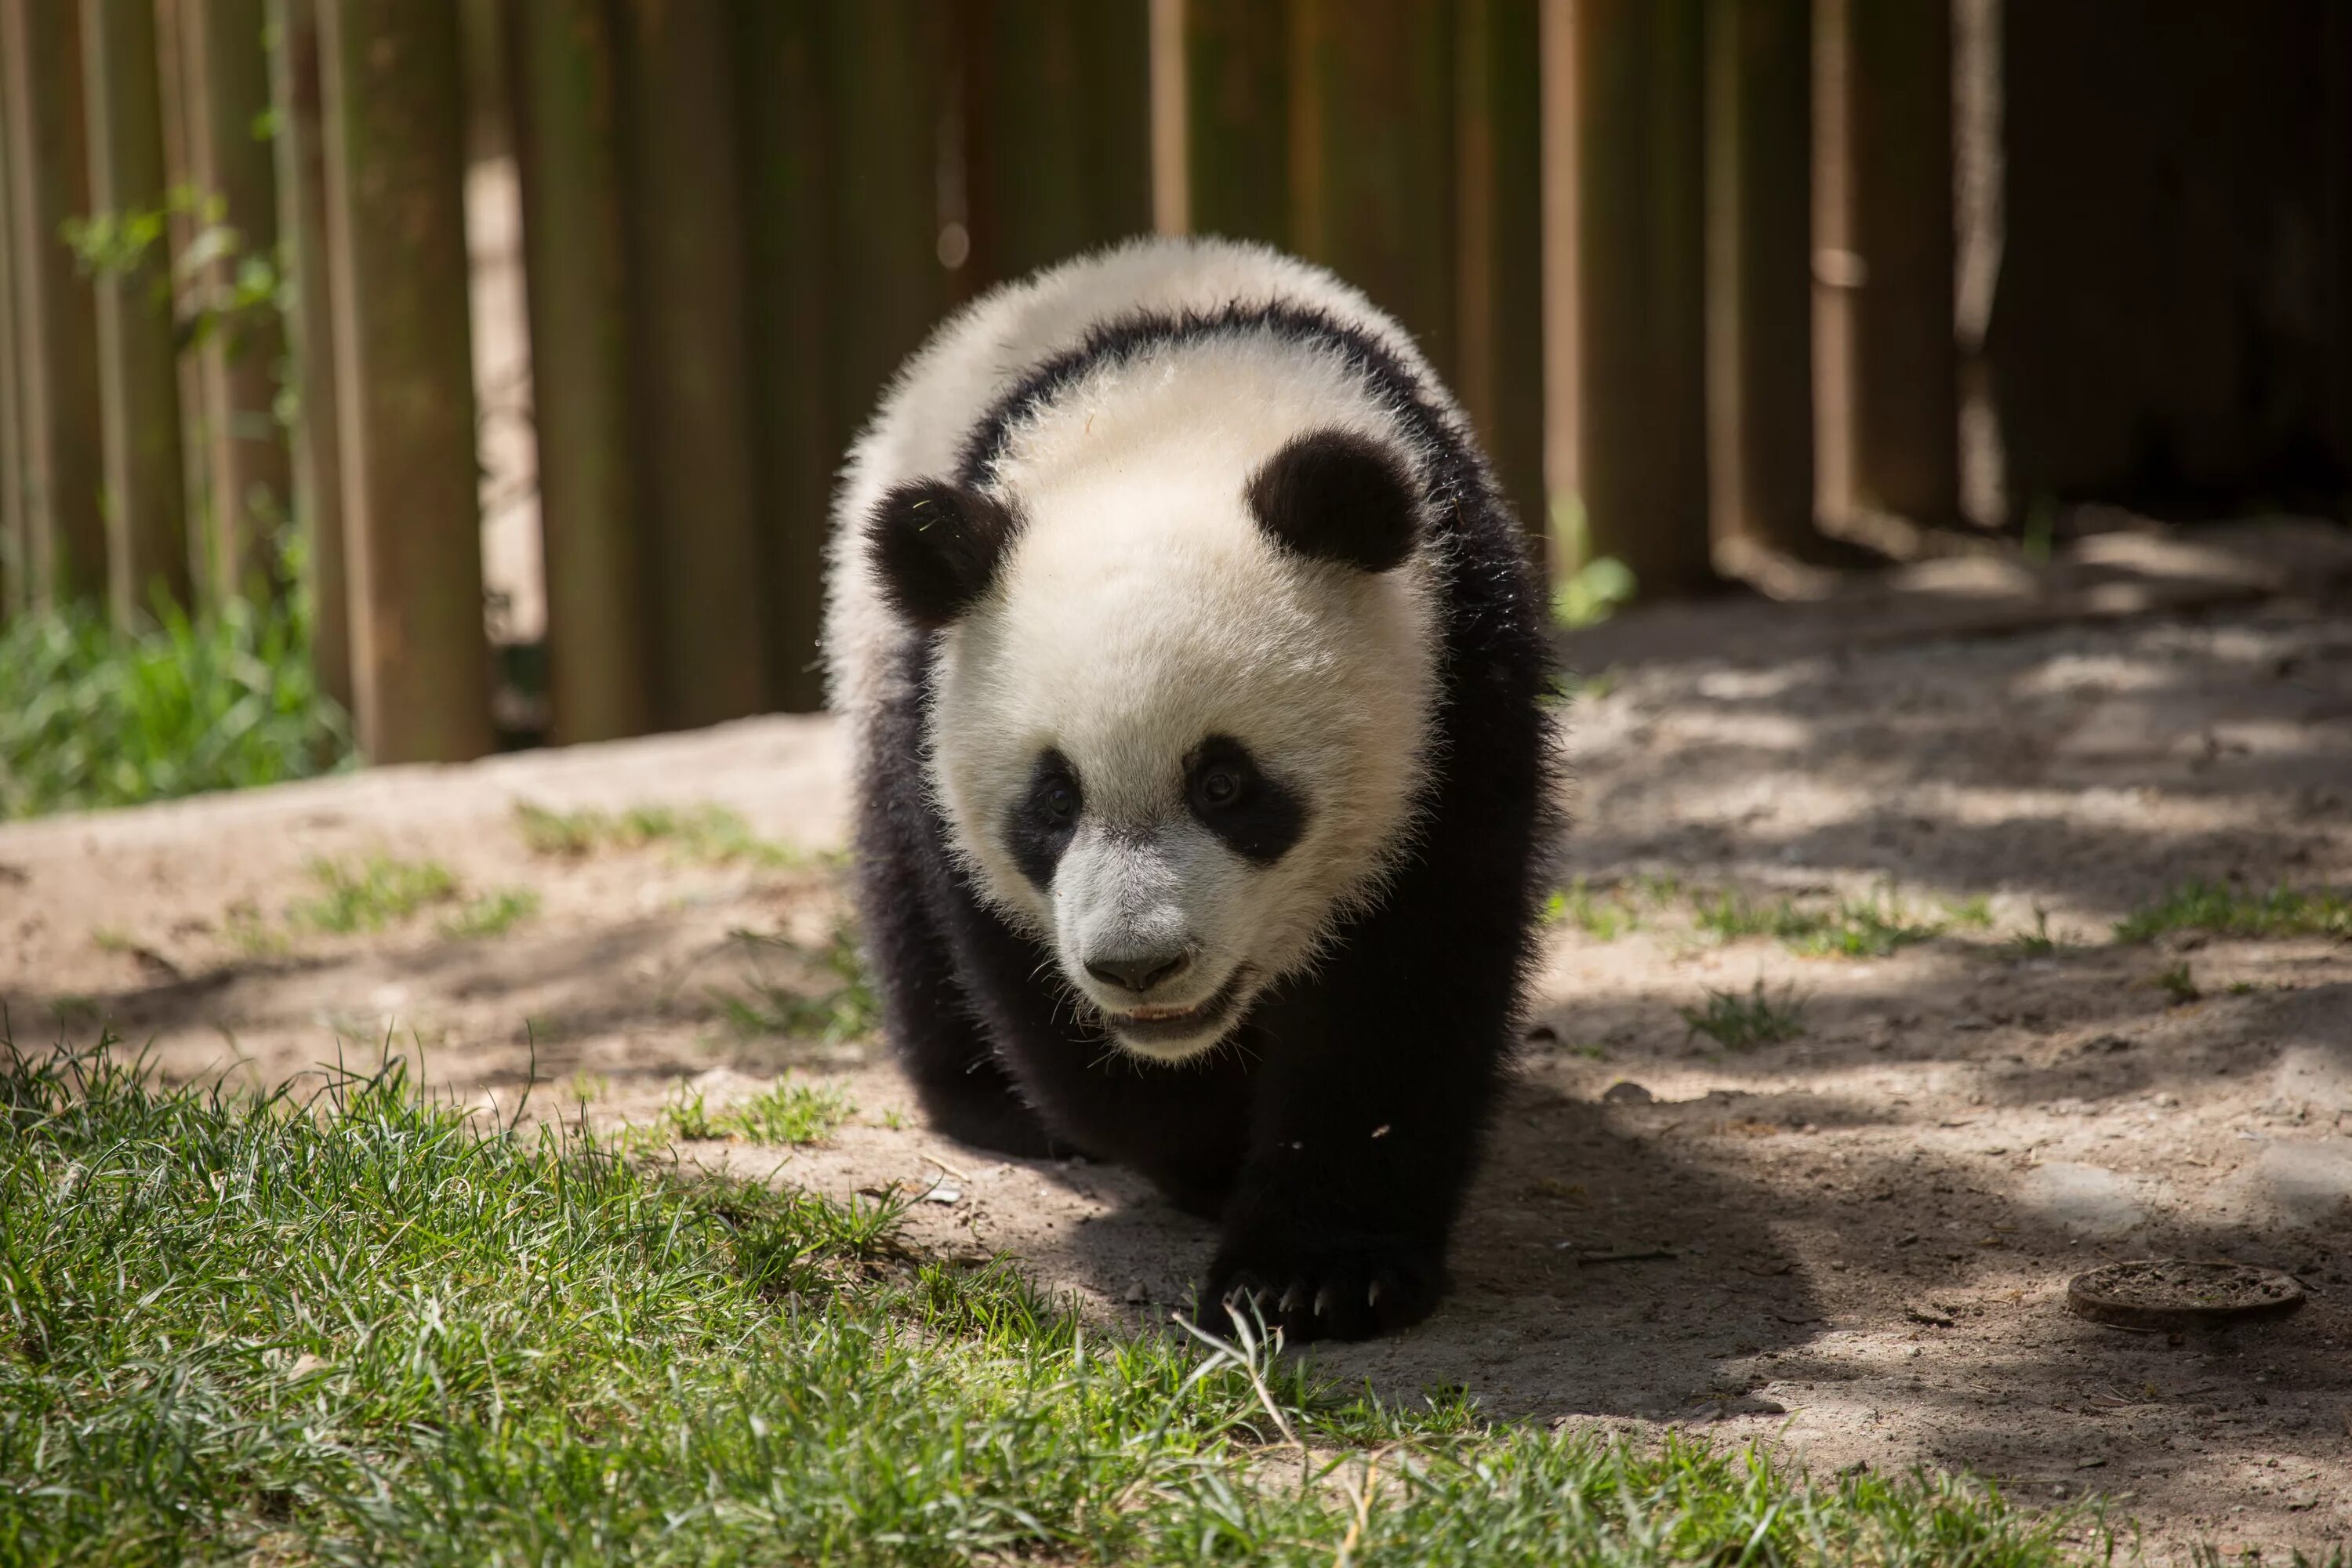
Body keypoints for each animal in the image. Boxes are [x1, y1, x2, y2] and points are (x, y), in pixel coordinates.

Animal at [828, 236, 1562, 1354]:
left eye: (1226, 783)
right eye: (1052, 802)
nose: (1141, 966)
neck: (1171, 421)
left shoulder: (1457, 686)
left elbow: (1405, 986)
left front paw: (1316, 1274)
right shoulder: (937, 721)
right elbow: (1034, 993)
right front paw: (1209, 1150)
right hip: (879, 655)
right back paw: (990, 1102)